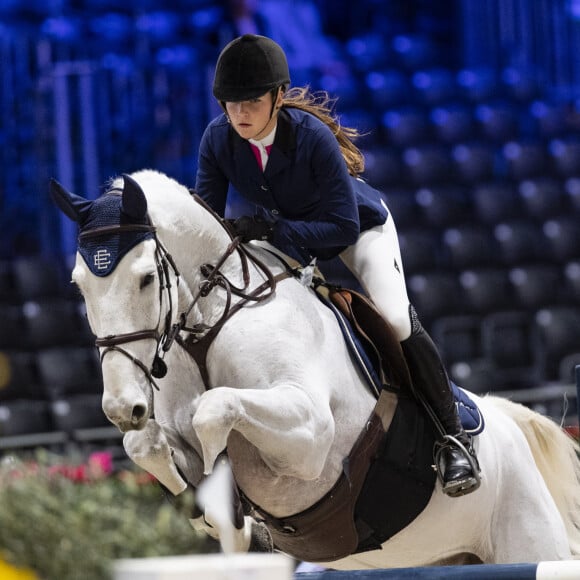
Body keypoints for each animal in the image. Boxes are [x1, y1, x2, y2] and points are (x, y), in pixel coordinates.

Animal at [51, 170, 580, 568]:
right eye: (77, 285)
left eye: (144, 278)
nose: (122, 407)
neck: (213, 320)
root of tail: (513, 425)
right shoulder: (170, 433)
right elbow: (145, 445)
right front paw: (217, 514)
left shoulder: (311, 438)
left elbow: (214, 408)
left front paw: (232, 514)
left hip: (529, 539)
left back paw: (458, 460)